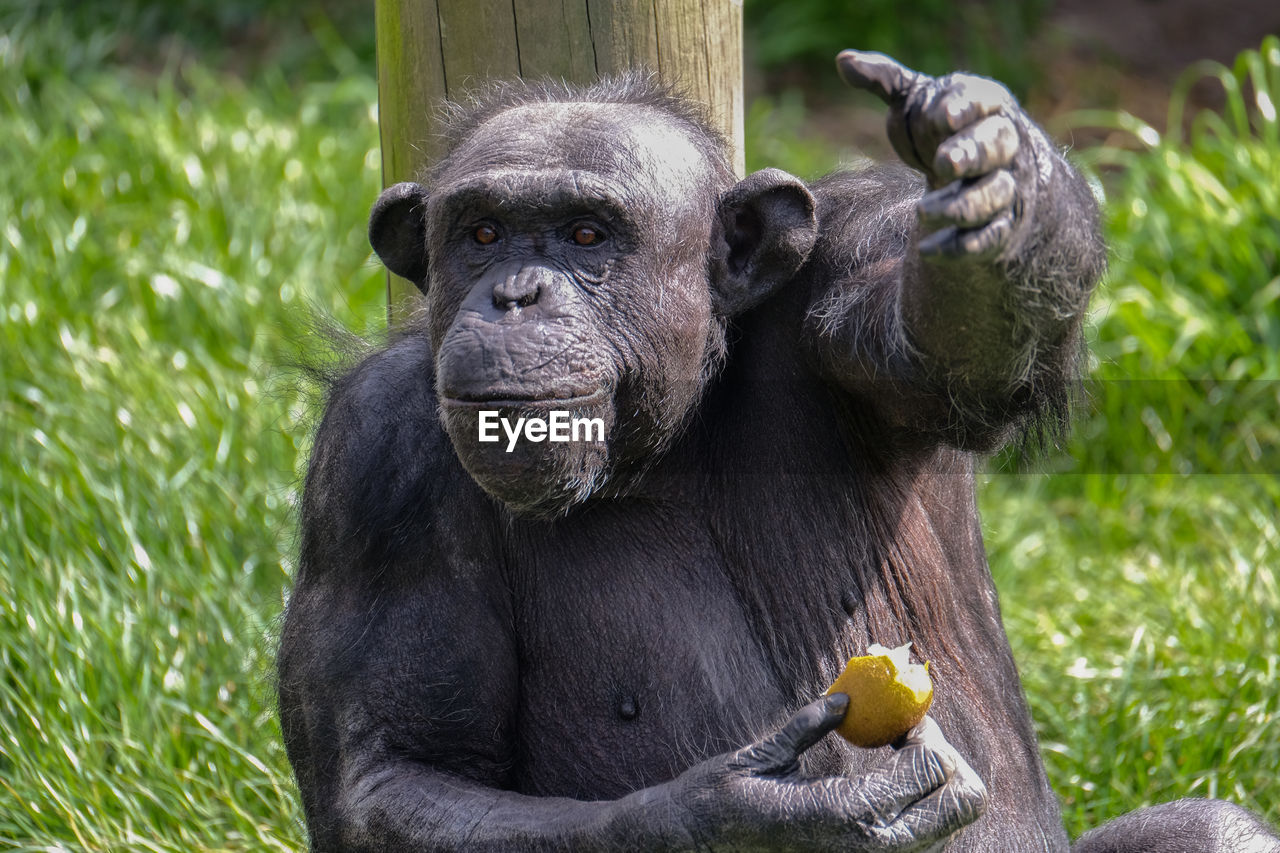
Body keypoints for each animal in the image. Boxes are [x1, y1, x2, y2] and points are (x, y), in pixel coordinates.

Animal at [280, 51, 1280, 850]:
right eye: (482, 234)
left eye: (587, 234)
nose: (515, 295)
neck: (668, 440)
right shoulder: (375, 474)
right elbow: (396, 774)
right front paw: (752, 818)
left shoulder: (847, 267)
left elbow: (955, 341)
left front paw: (998, 164)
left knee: (1214, 828)